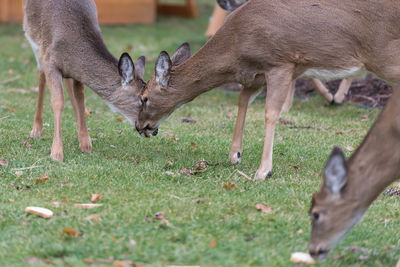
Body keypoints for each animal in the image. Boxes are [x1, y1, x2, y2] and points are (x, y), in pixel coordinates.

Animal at [22, 0, 146, 161]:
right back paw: (36, 130)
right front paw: (56, 153)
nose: (153, 129)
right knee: (40, 75)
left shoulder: (78, 72)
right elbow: (58, 101)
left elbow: (80, 98)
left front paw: (86, 143)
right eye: (142, 99)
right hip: (33, 39)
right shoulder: (49, 59)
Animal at [134, 0, 400, 181]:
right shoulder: (255, 76)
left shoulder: (280, 64)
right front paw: (235, 154)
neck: (234, 48)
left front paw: (263, 171)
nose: (139, 126)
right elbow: (242, 101)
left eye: (144, 98)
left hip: (384, 55)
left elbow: (271, 113)